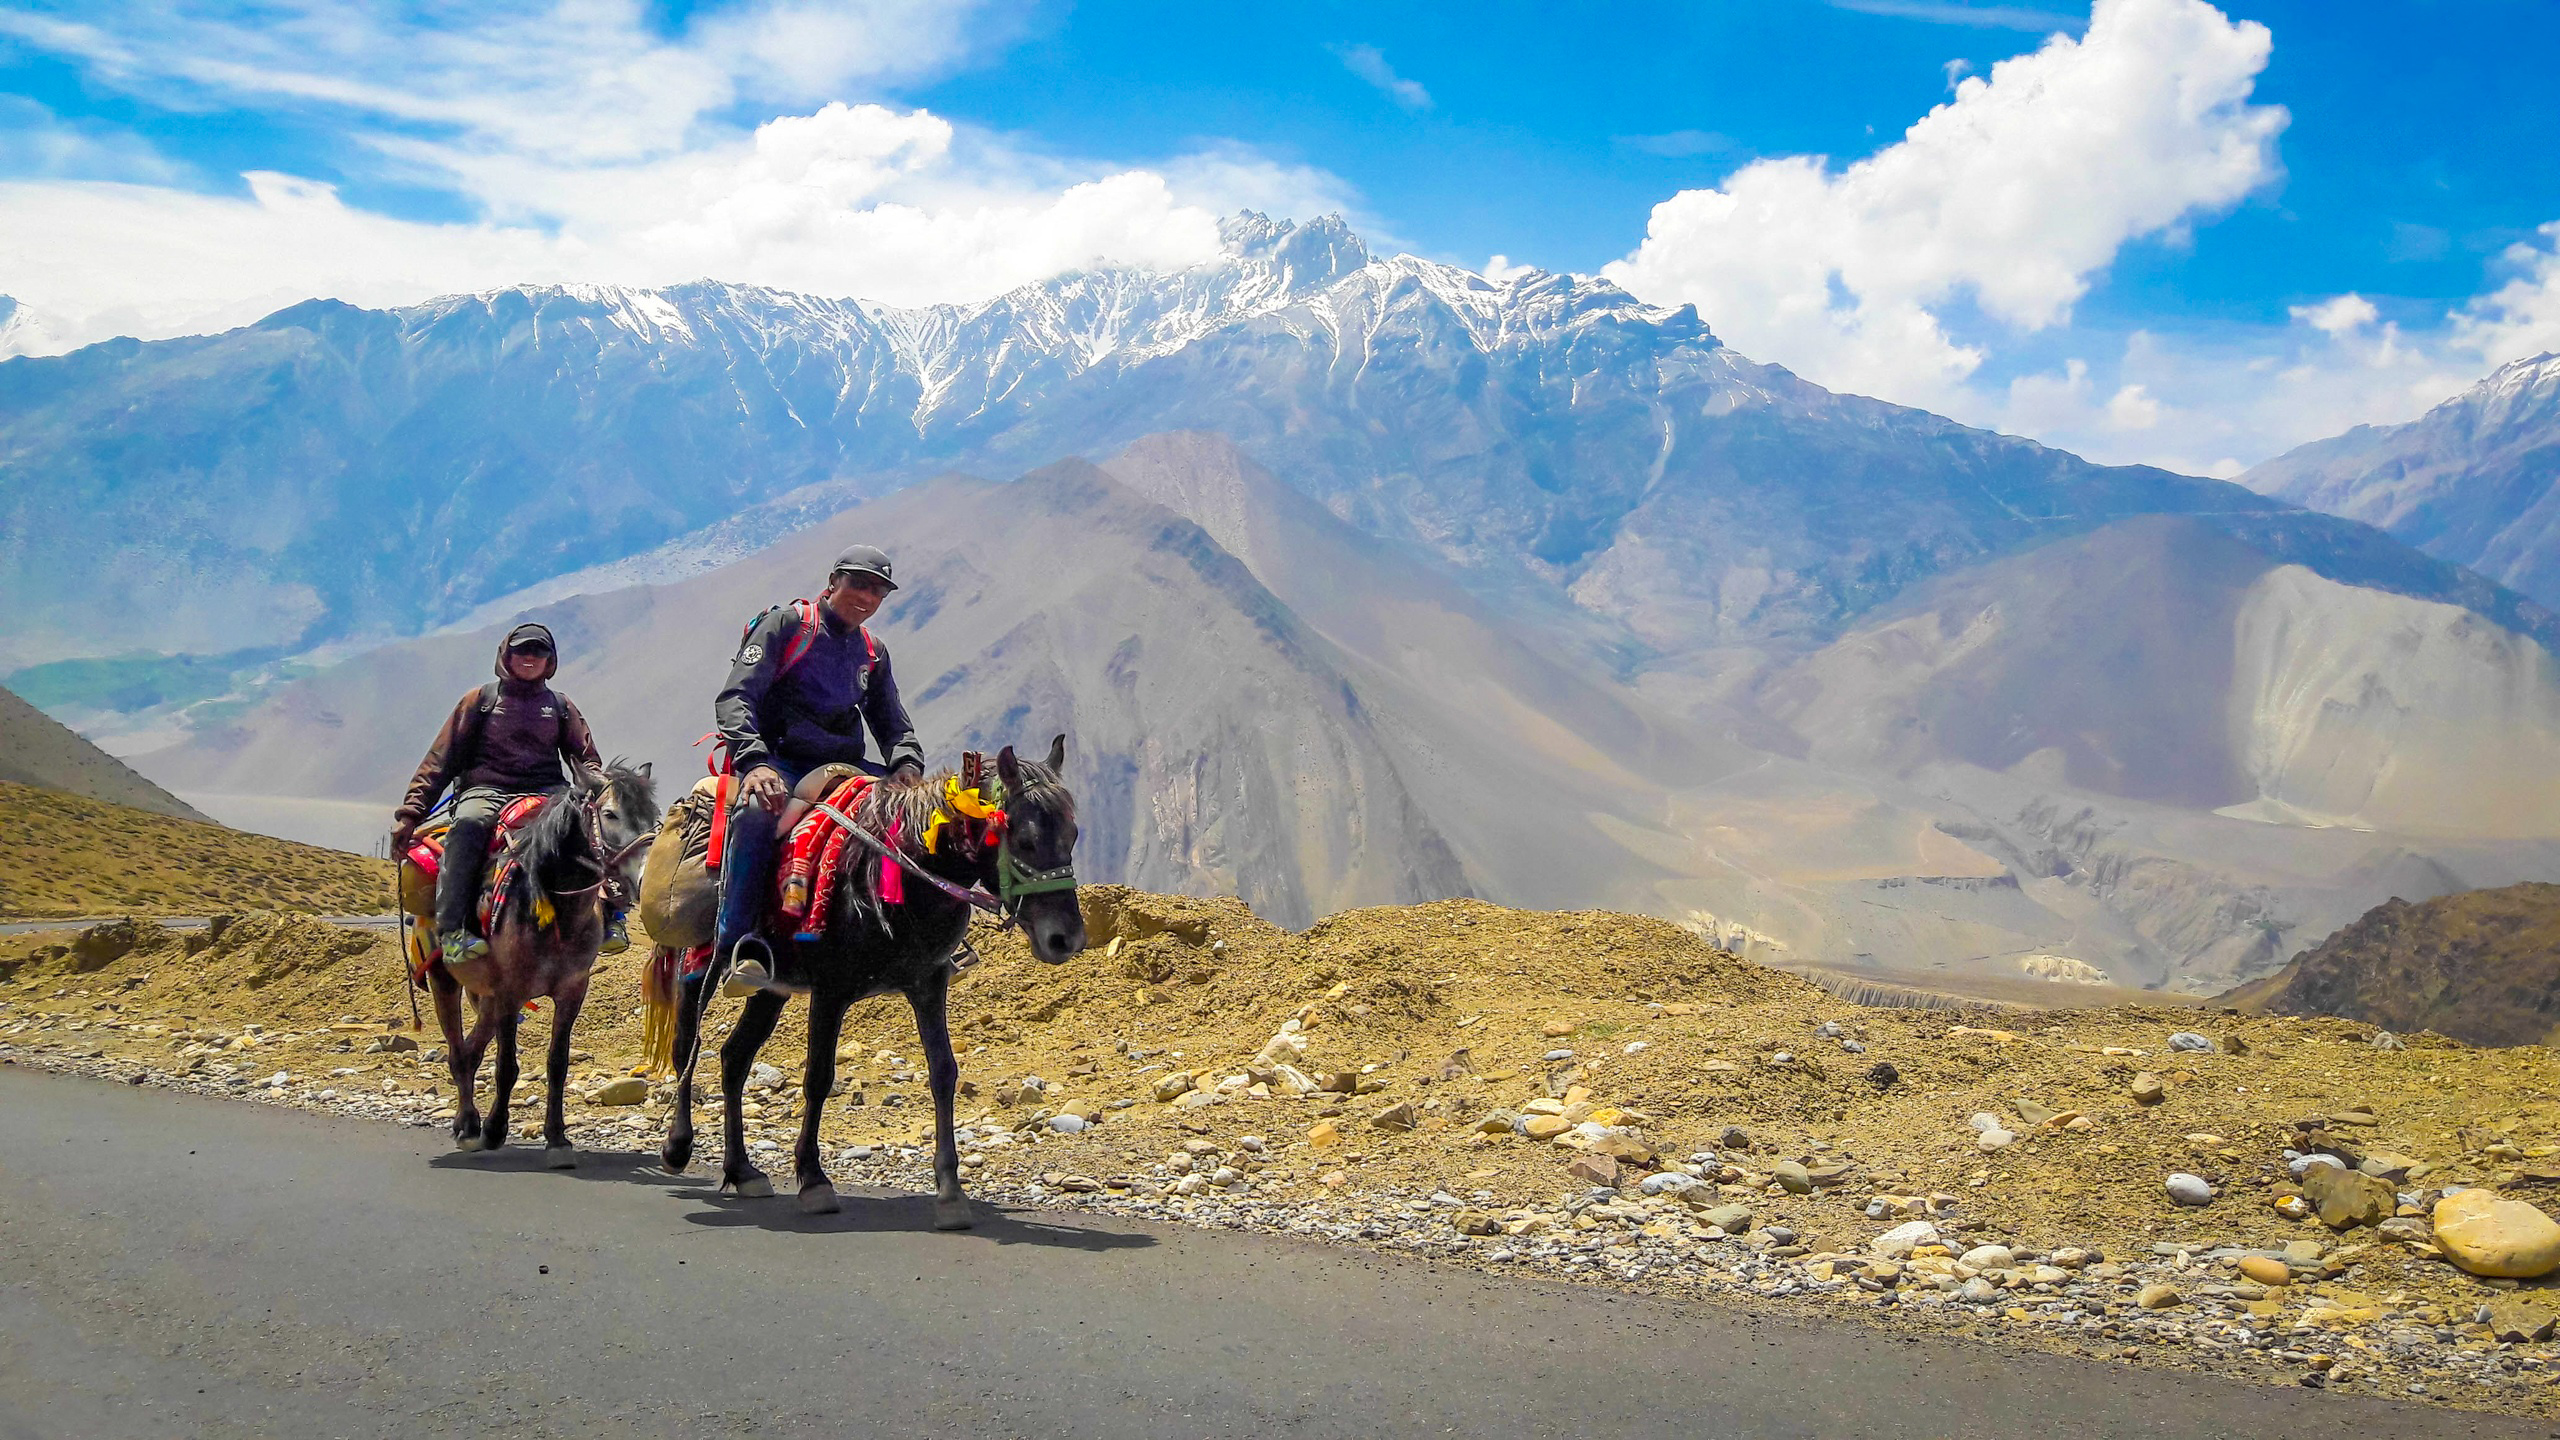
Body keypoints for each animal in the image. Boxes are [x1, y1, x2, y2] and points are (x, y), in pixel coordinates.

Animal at [655, 737, 1085, 1219]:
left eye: (1072, 836)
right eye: (1024, 839)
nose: (1065, 939)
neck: (898, 873)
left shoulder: (927, 984)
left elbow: (943, 1071)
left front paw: (951, 1192)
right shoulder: (830, 991)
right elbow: (818, 1078)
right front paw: (813, 1179)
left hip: (772, 990)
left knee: (734, 1058)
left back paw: (742, 1171)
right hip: (697, 972)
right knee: (686, 1048)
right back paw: (677, 1147)